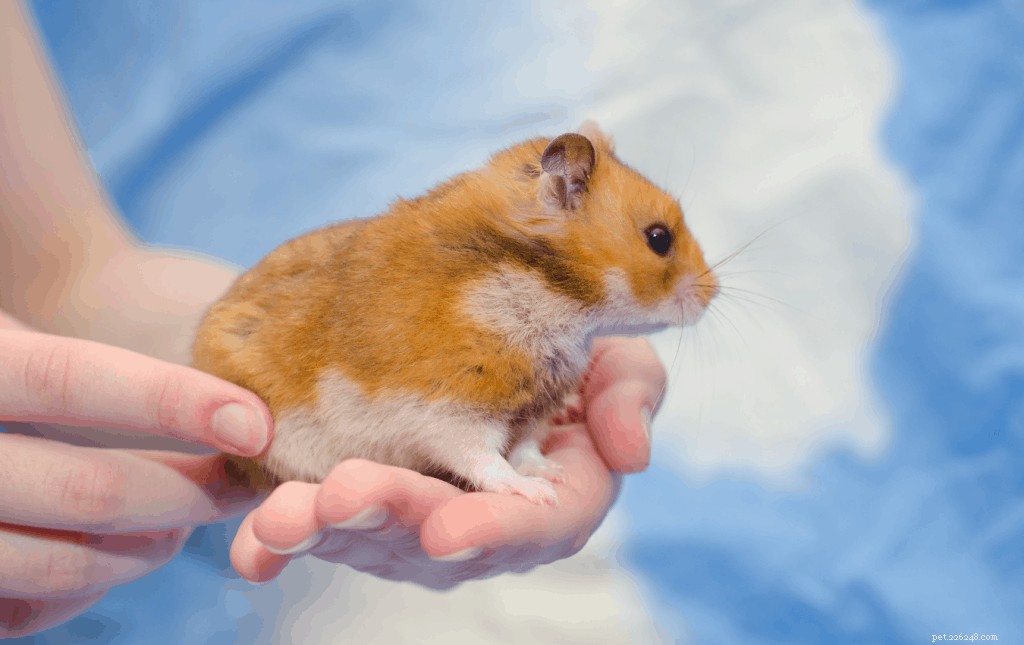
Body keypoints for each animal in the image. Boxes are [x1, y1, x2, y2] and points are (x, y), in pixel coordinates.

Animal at [192, 122, 718, 504]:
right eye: (659, 238)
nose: (713, 295)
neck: (551, 295)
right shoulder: (450, 410)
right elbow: (484, 460)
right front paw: (537, 494)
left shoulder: (532, 410)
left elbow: (526, 447)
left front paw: (554, 475)